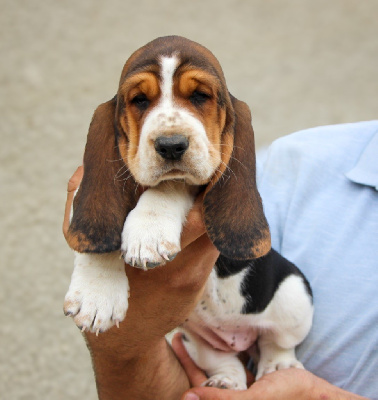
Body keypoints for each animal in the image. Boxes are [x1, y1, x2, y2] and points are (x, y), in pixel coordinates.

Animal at [65, 35, 314, 390]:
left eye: (200, 96)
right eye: (139, 100)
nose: (171, 145)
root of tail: (239, 338)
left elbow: (169, 188)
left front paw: (148, 235)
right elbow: (96, 233)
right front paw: (96, 293)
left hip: (294, 293)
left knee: (276, 343)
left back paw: (279, 367)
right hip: (192, 338)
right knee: (222, 359)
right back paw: (226, 382)